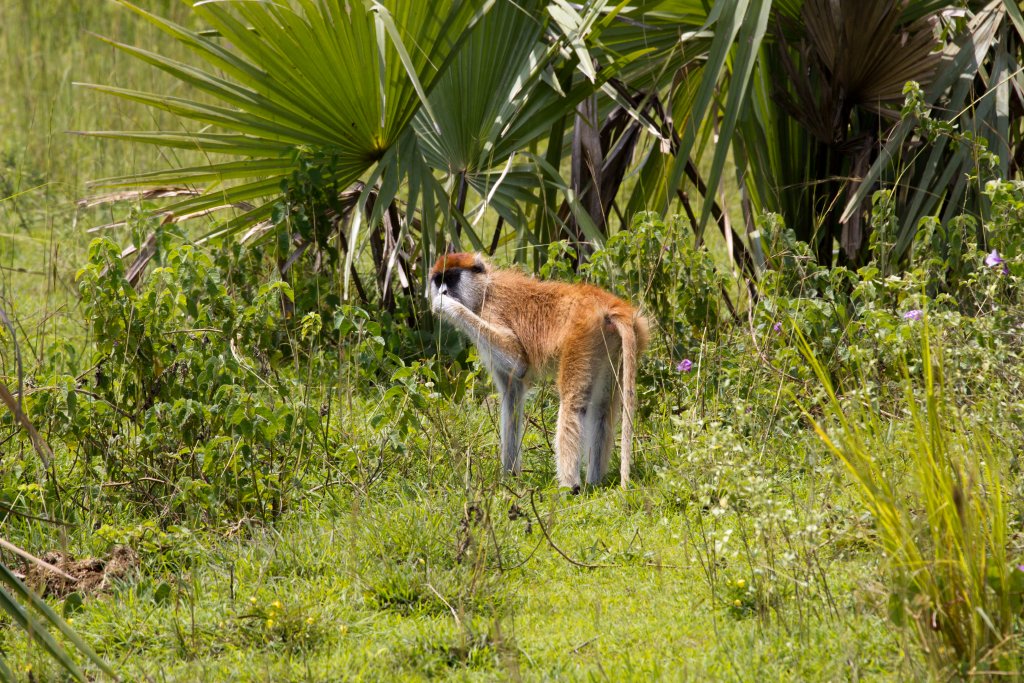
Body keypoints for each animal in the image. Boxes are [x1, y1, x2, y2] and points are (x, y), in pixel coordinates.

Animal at [428, 252, 649, 491]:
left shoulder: (490, 311)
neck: (484, 287)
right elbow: (512, 395)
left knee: (572, 404)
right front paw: (509, 479)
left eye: (451, 278)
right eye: (438, 281)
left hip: (582, 335)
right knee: (602, 410)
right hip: (609, 344)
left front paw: (447, 306)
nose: (442, 292)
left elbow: (516, 358)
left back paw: (570, 487)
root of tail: (609, 305)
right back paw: (595, 483)